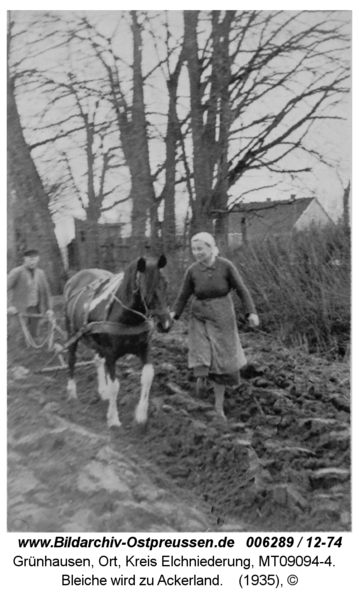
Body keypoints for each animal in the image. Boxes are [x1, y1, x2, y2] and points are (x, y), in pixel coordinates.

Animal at [63, 253, 173, 426]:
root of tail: (74, 278)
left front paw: (141, 415)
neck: (128, 318)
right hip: (72, 332)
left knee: (97, 361)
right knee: (72, 359)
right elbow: (115, 385)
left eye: (166, 284)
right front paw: (113, 418)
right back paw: (72, 392)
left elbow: (147, 376)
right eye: (146, 288)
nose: (166, 324)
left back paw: (103, 391)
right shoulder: (111, 353)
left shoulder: (144, 347)